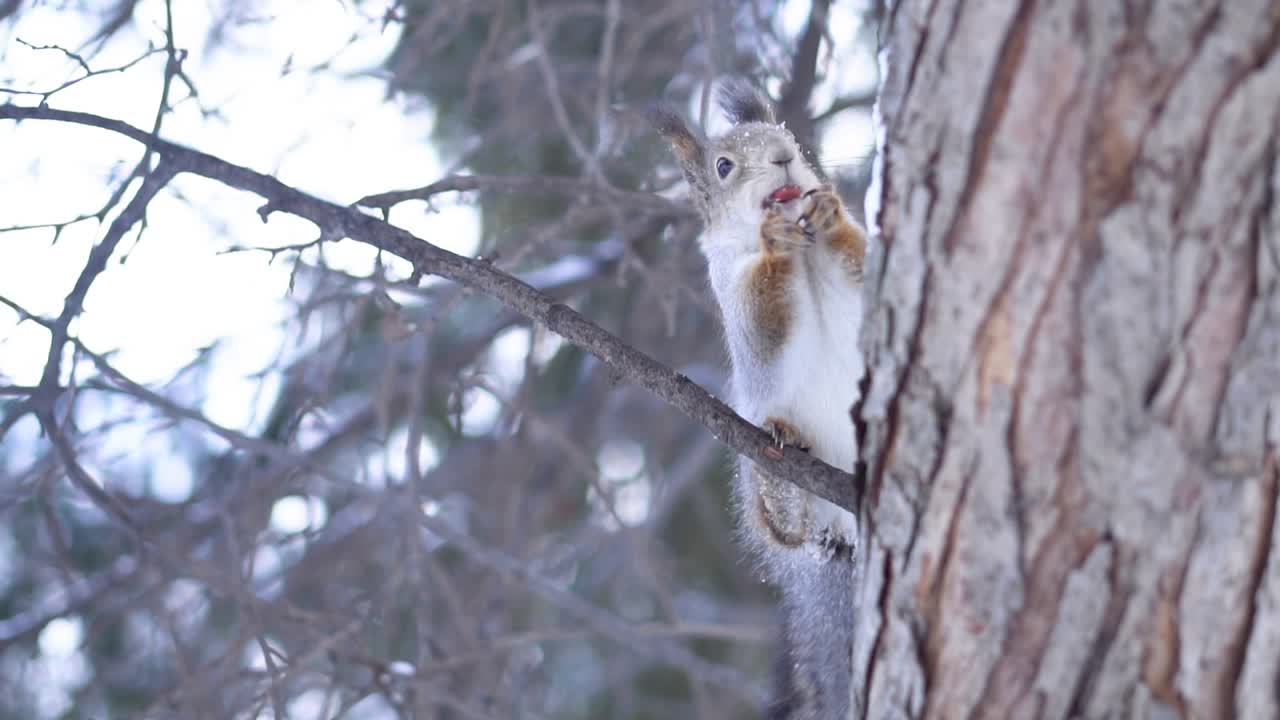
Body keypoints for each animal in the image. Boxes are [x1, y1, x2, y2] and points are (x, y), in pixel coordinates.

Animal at [653, 78, 866, 719]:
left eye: (789, 139)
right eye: (724, 166)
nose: (782, 158)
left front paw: (831, 212)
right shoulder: (731, 289)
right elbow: (763, 328)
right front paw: (774, 244)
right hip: (755, 472)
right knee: (783, 528)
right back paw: (784, 472)